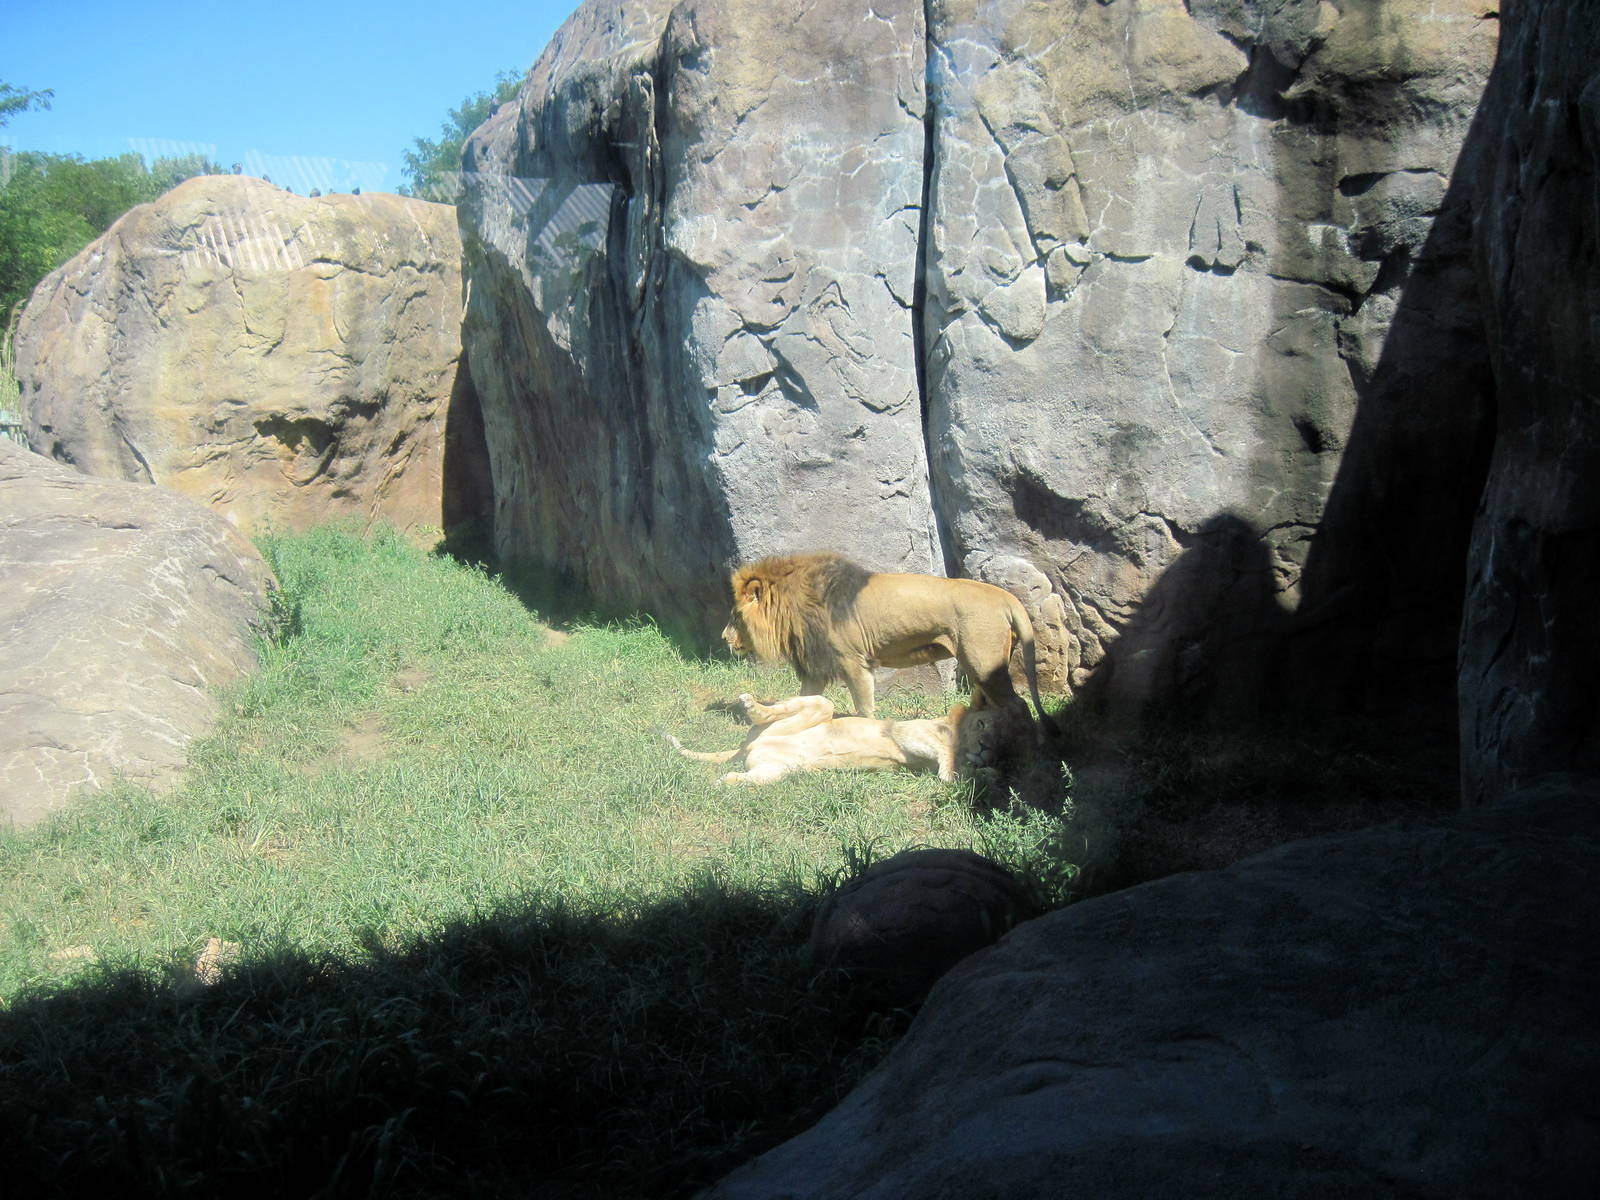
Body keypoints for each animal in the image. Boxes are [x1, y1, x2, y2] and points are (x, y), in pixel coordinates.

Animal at [665, 693, 972, 786]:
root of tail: (747, 745)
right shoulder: (906, 732)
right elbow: (944, 747)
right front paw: (951, 773)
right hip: (821, 706)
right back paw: (751, 704)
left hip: (776, 770)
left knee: (741, 777)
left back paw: (721, 782)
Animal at [721, 551, 1047, 721]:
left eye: (735, 615)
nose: (724, 637)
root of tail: (1005, 597)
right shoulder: (816, 667)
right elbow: (805, 698)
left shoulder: (852, 661)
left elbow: (864, 706)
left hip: (983, 661)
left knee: (1017, 704)